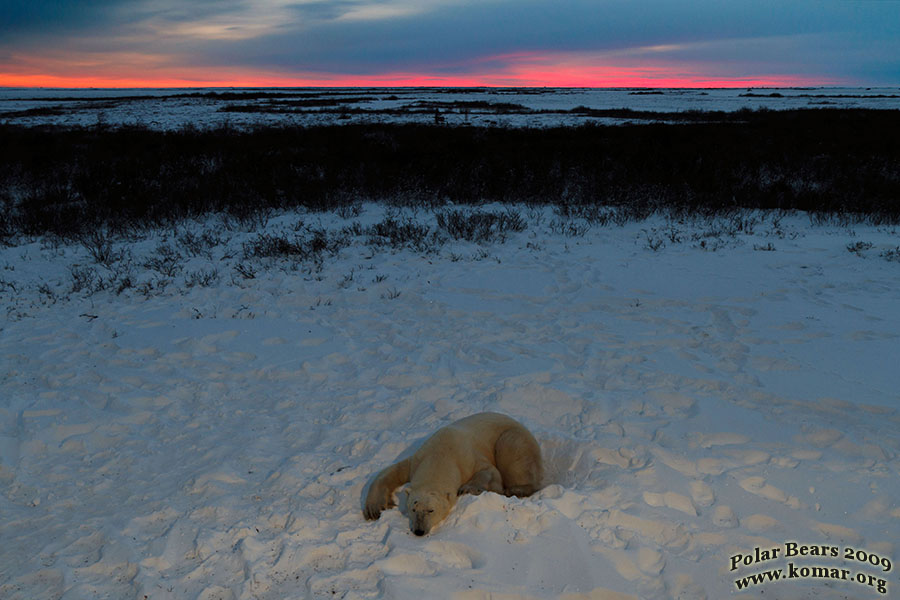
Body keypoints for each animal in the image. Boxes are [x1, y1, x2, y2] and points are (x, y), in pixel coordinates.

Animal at [364, 412, 540, 536]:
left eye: (431, 510)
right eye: (413, 509)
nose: (419, 531)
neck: (441, 454)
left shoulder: (468, 457)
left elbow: (490, 472)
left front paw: (467, 488)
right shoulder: (418, 460)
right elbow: (392, 472)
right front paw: (374, 509)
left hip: (515, 438)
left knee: (511, 448)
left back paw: (516, 489)